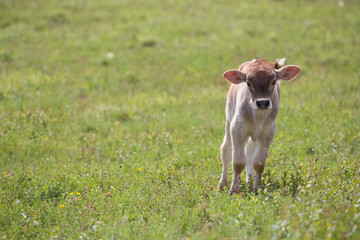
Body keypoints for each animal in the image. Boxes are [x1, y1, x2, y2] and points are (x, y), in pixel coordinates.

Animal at [218, 58, 300, 197]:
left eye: (273, 81)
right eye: (248, 83)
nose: (262, 102)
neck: (258, 116)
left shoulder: (268, 132)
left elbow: (259, 162)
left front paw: (256, 189)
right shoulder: (237, 128)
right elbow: (238, 162)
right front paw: (233, 190)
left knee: (249, 155)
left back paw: (249, 181)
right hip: (228, 122)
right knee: (226, 151)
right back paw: (222, 185)